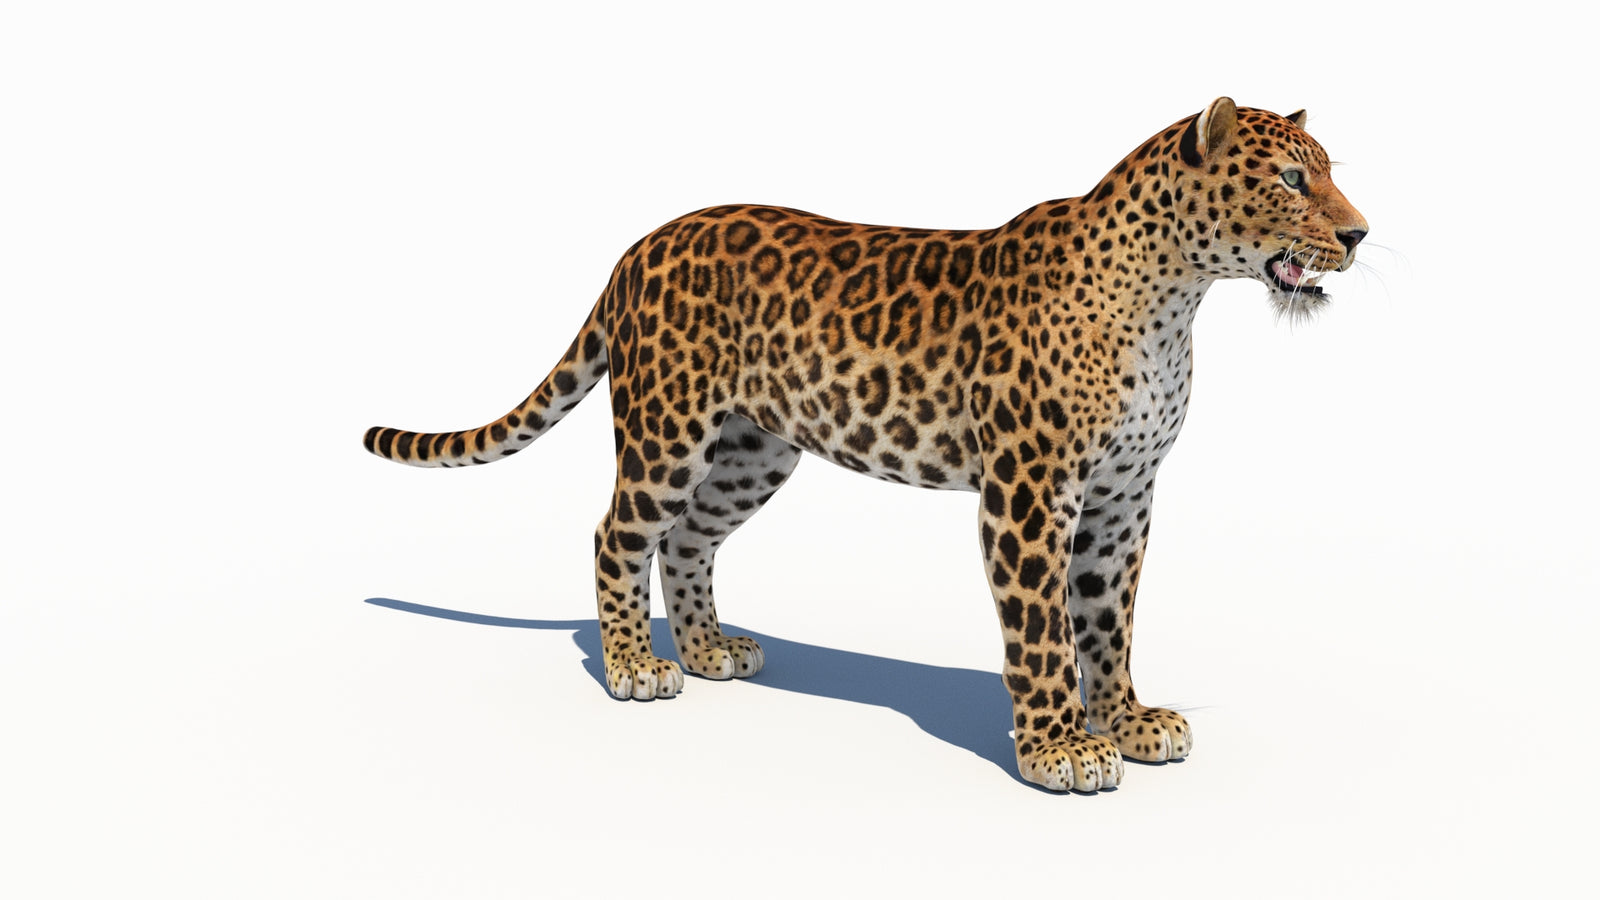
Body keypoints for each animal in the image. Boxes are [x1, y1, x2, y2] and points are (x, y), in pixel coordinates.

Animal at [364, 97, 1367, 792]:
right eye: (1291, 182)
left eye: (1325, 175)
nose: (1359, 234)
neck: (1174, 301)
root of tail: (639, 247)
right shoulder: (1029, 494)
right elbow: (1043, 630)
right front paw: (1059, 750)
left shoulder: (1125, 497)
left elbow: (1108, 619)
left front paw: (1126, 721)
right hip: (669, 430)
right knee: (619, 534)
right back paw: (635, 668)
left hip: (752, 452)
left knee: (687, 541)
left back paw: (710, 649)